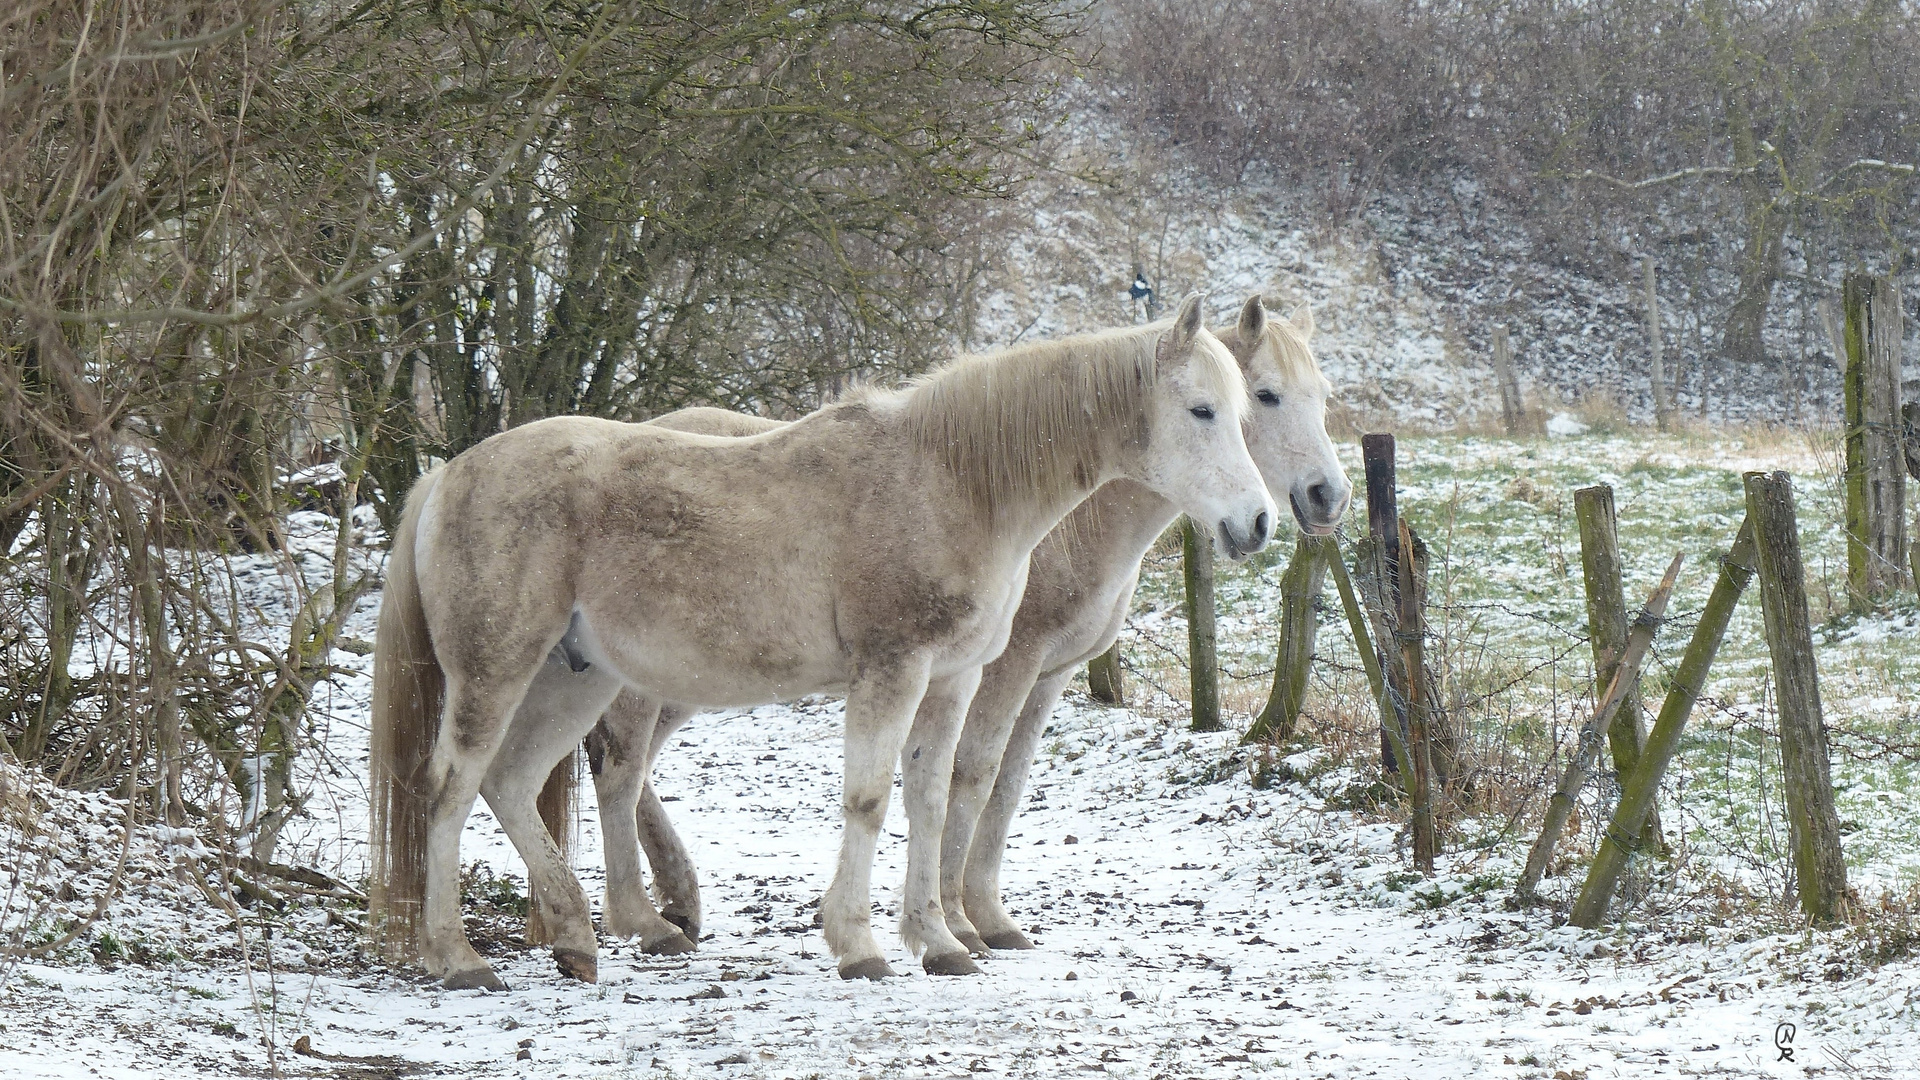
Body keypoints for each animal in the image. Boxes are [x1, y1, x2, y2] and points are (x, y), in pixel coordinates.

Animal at [372, 295, 1274, 983]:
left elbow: (931, 798)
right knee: (453, 785)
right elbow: (870, 798)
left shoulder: (951, 679)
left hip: (576, 675)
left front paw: (939, 942)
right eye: (1201, 411)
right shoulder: (893, 670)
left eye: (1243, 411)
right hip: (497, 669)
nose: (1259, 523)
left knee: (515, 783)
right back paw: (459, 957)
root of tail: (448, 475)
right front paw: (860, 946)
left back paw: (583, 938)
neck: (952, 481)